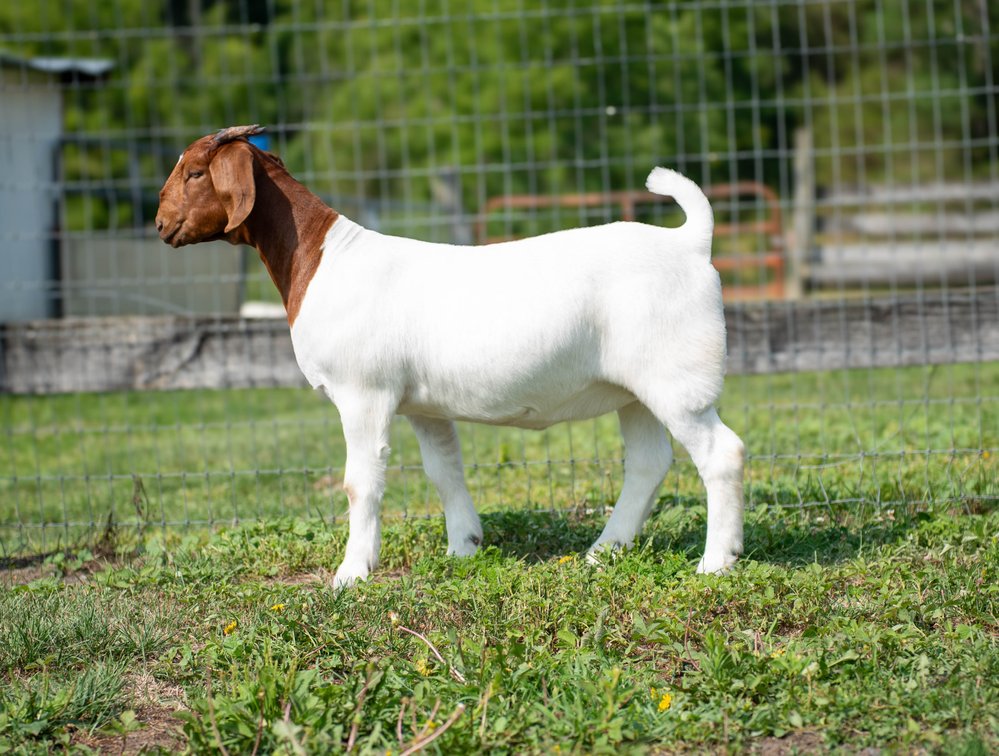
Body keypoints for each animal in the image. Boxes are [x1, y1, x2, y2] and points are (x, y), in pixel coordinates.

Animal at [156, 125, 746, 588]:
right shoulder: (424, 406)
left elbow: (360, 481)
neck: (322, 257)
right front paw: (463, 547)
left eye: (195, 173)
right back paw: (603, 552)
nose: (160, 225)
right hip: (635, 390)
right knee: (648, 462)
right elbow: (444, 471)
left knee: (722, 454)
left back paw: (715, 563)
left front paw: (351, 575)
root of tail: (690, 242)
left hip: (677, 379)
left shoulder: (363, 395)